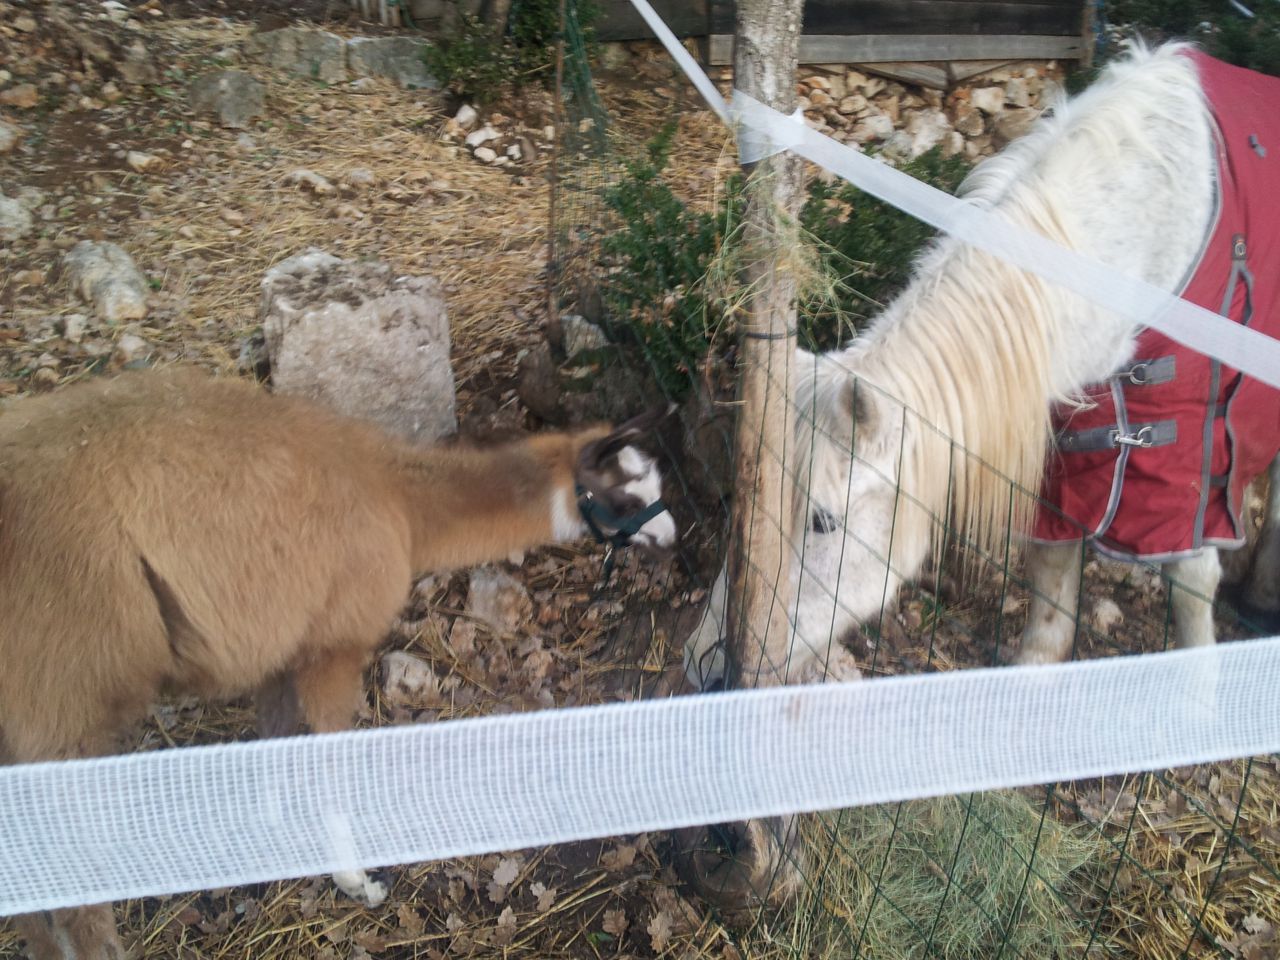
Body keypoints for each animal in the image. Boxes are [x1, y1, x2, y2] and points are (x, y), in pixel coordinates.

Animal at [0, 366, 675, 960]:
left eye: (658, 485)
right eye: (623, 496)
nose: (671, 537)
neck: (398, 499)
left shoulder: (286, 641)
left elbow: (274, 741)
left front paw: (270, 838)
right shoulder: (336, 640)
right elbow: (328, 761)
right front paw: (357, 882)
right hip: (62, 695)